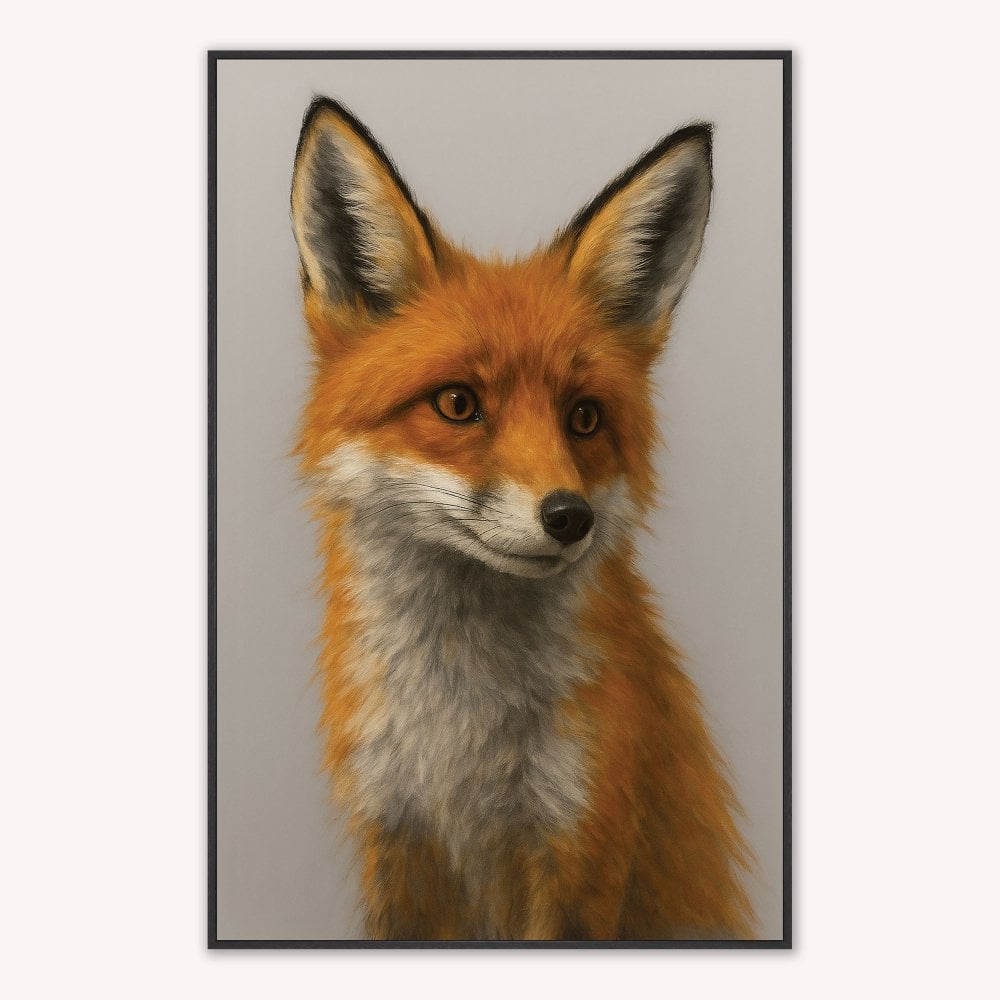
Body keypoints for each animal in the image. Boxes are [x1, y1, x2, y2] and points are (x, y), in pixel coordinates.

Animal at [289, 97, 754, 941]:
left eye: (584, 417)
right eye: (457, 404)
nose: (570, 517)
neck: (459, 740)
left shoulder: (581, 845)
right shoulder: (397, 840)